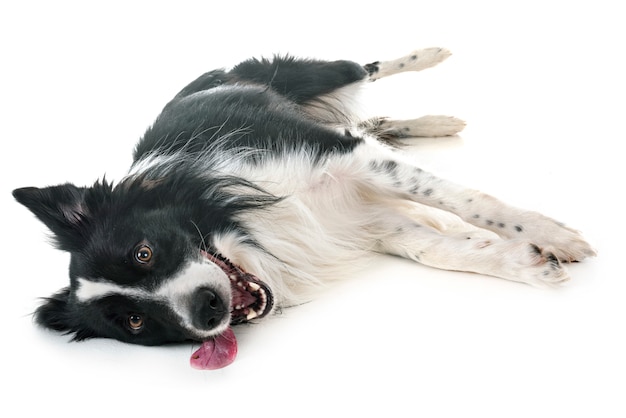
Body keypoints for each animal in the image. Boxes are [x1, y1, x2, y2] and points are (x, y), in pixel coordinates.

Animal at [12, 48, 592, 370]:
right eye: (134, 321)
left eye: (144, 252)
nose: (206, 310)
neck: (244, 223)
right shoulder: (363, 221)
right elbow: (438, 250)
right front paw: (526, 262)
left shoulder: (340, 157)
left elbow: (464, 200)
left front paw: (550, 234)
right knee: (376, 117)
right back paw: (435, 123)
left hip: (318, 75)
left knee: (368, 68)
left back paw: (432, 56)